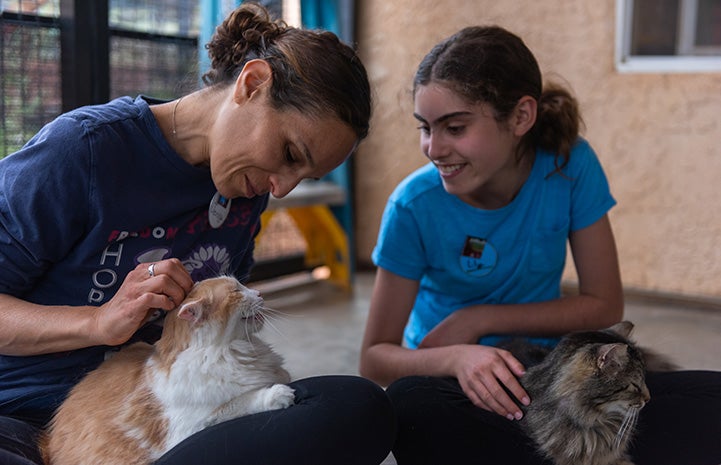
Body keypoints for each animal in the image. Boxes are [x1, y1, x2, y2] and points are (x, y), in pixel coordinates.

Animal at [41, 276, 296, 464]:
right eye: (237, 291)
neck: (230, 351)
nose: (259, 293)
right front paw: (277, 394)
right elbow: (239, 403)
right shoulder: (191, 426)